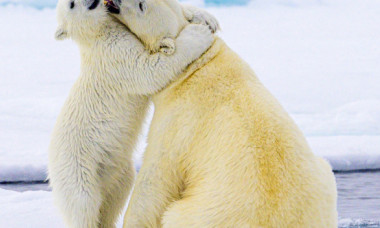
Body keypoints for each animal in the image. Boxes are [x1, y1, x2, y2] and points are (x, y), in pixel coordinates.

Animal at [48, 0, 217, 228]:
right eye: (72, 4)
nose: (89, 1)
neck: (98, 34)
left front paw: (207, 18)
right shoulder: (114, 56)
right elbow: (149, 70)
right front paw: (199, 34)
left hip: (115, 170)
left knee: (115, 196)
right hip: (77, 169)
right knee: (83, 206)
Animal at [107, 0, 338, 226]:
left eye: (141, 5)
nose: (115, 1)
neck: (198, 66)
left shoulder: (178, 121)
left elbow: (156, 176)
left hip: (205, 211)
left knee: (175, 214)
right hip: (323, 184)